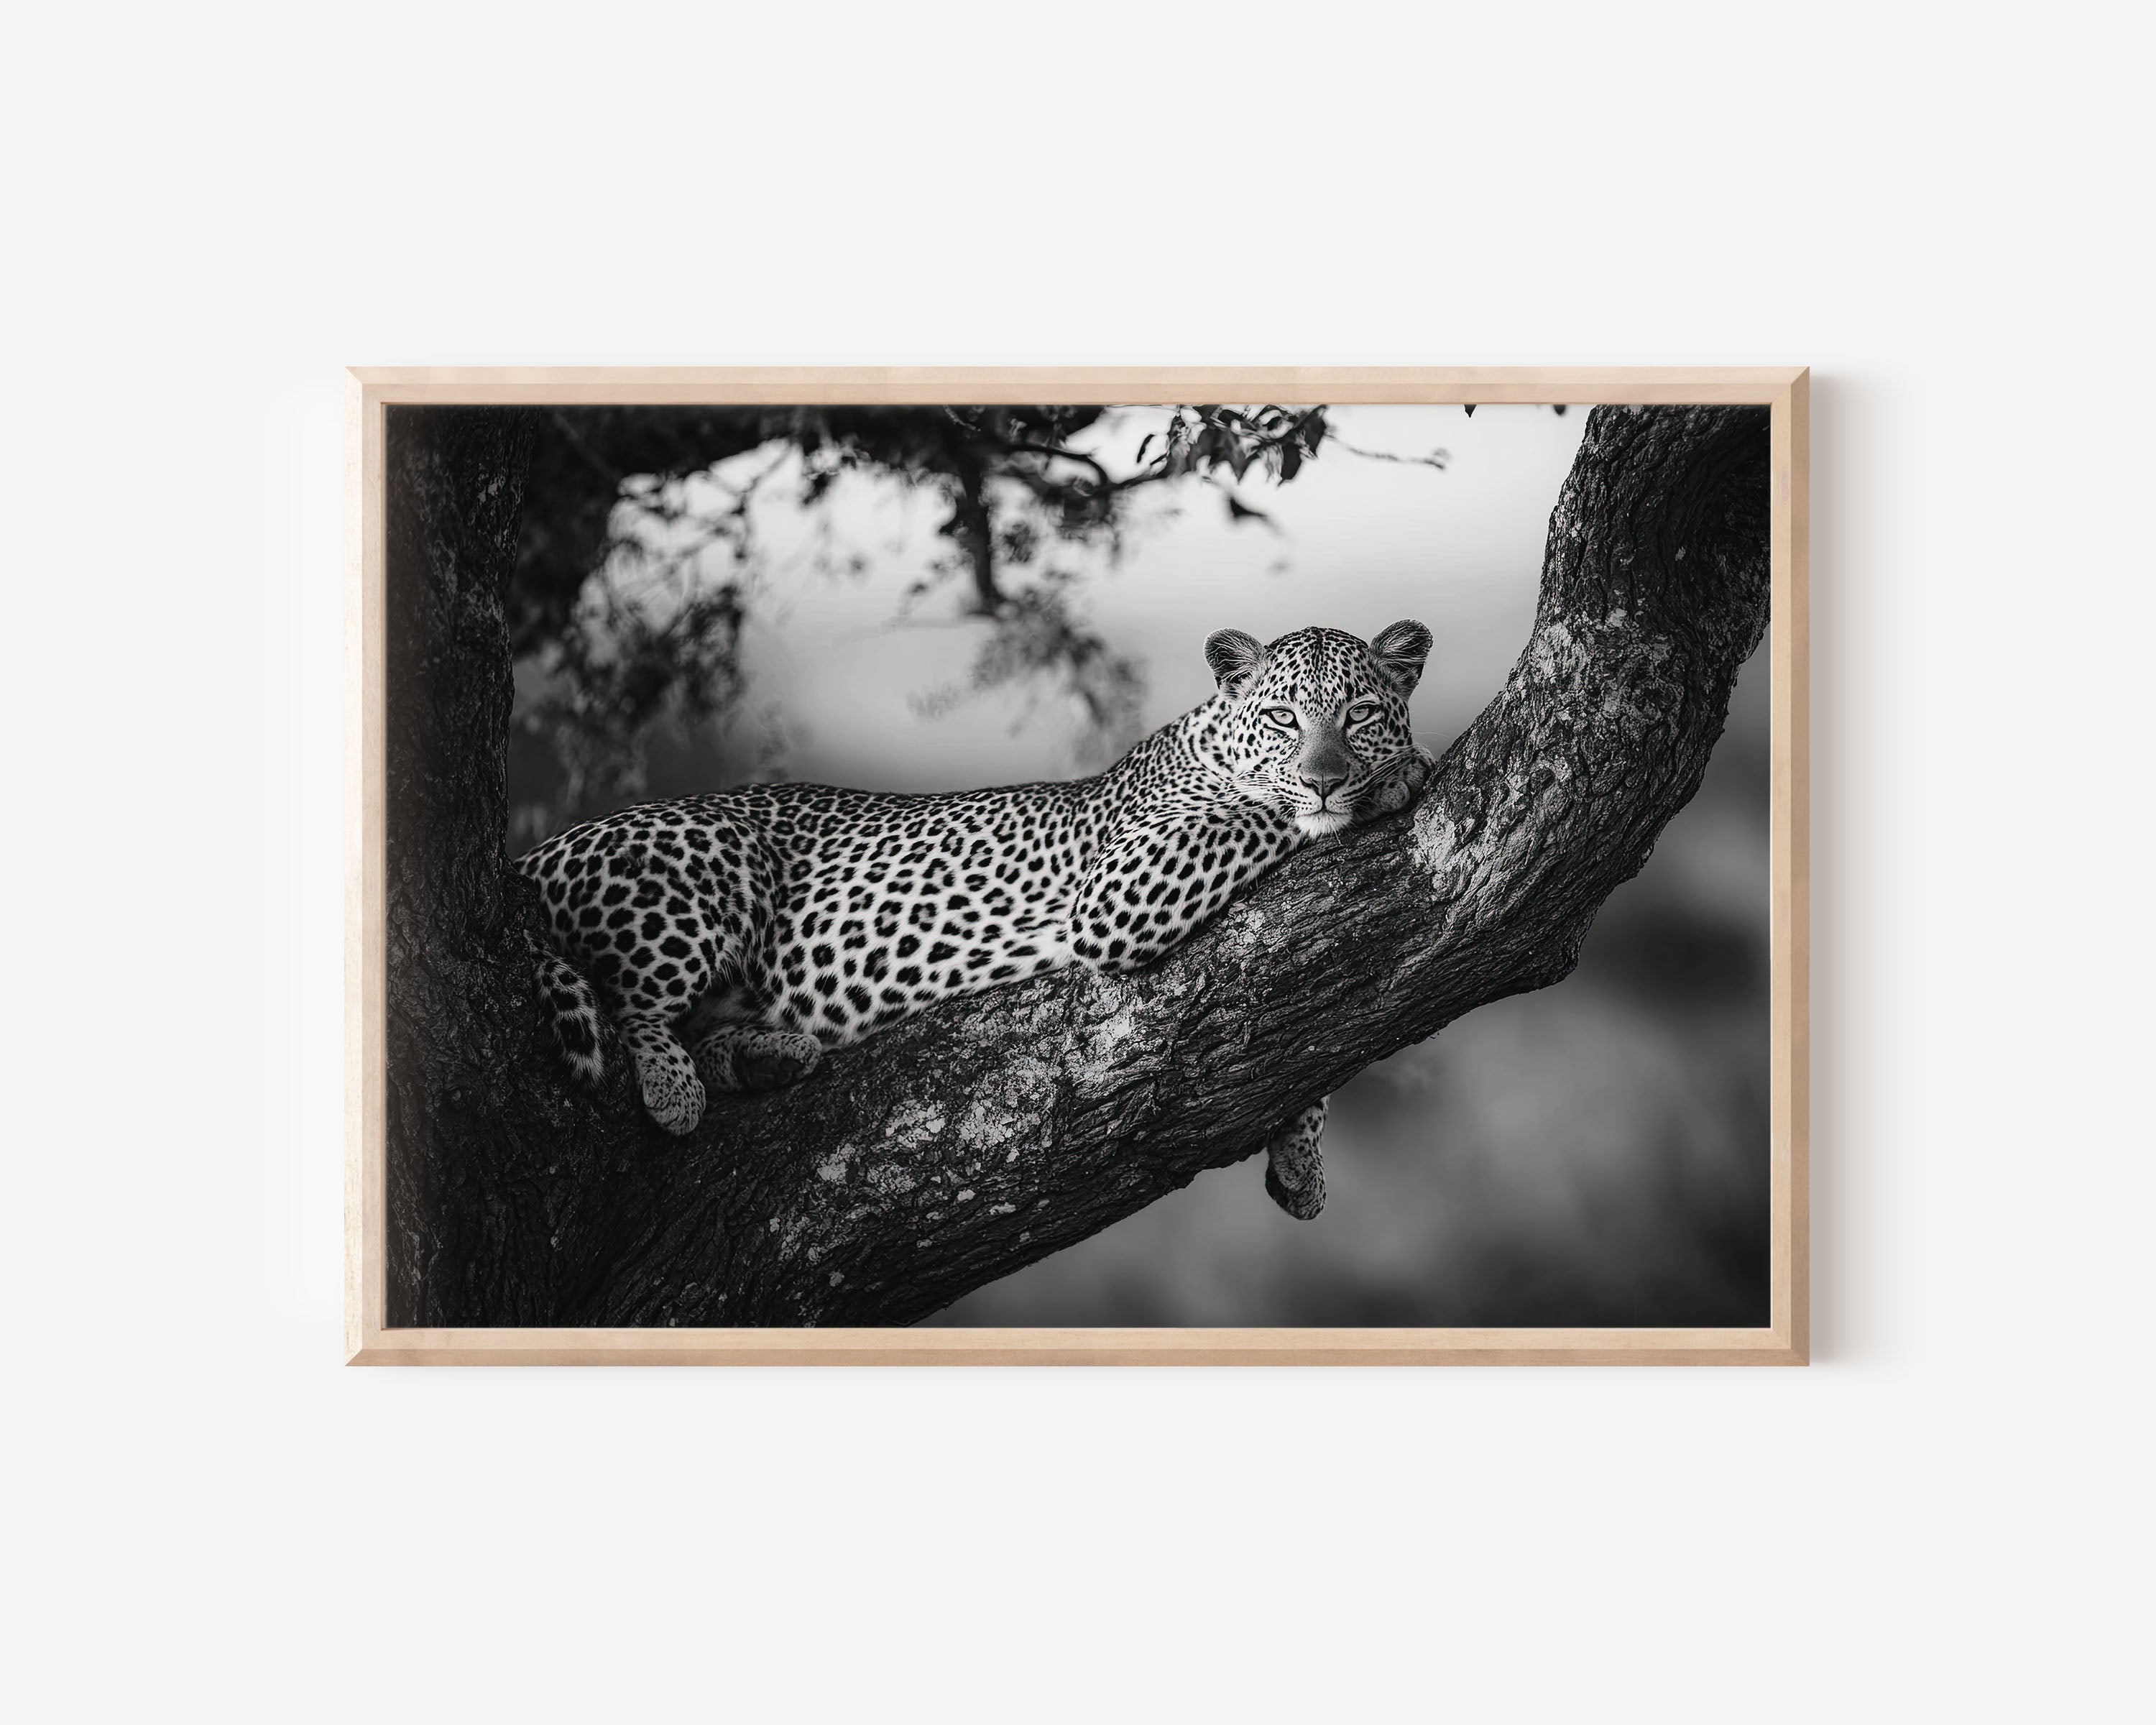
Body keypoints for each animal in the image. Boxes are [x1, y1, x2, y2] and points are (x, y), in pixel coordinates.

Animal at [513, 619, 1434, 1218]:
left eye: (1358, 715)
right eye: (1284, 718)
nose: (1326, 776)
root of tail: (534, 855)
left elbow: (1310, 1043)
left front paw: (1302, 1158)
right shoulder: (1120, 889)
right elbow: (1260, 812)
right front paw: (1392, 777)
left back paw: (766, 1054)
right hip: (709, 857)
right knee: (632, 1006)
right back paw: (674, 1086)